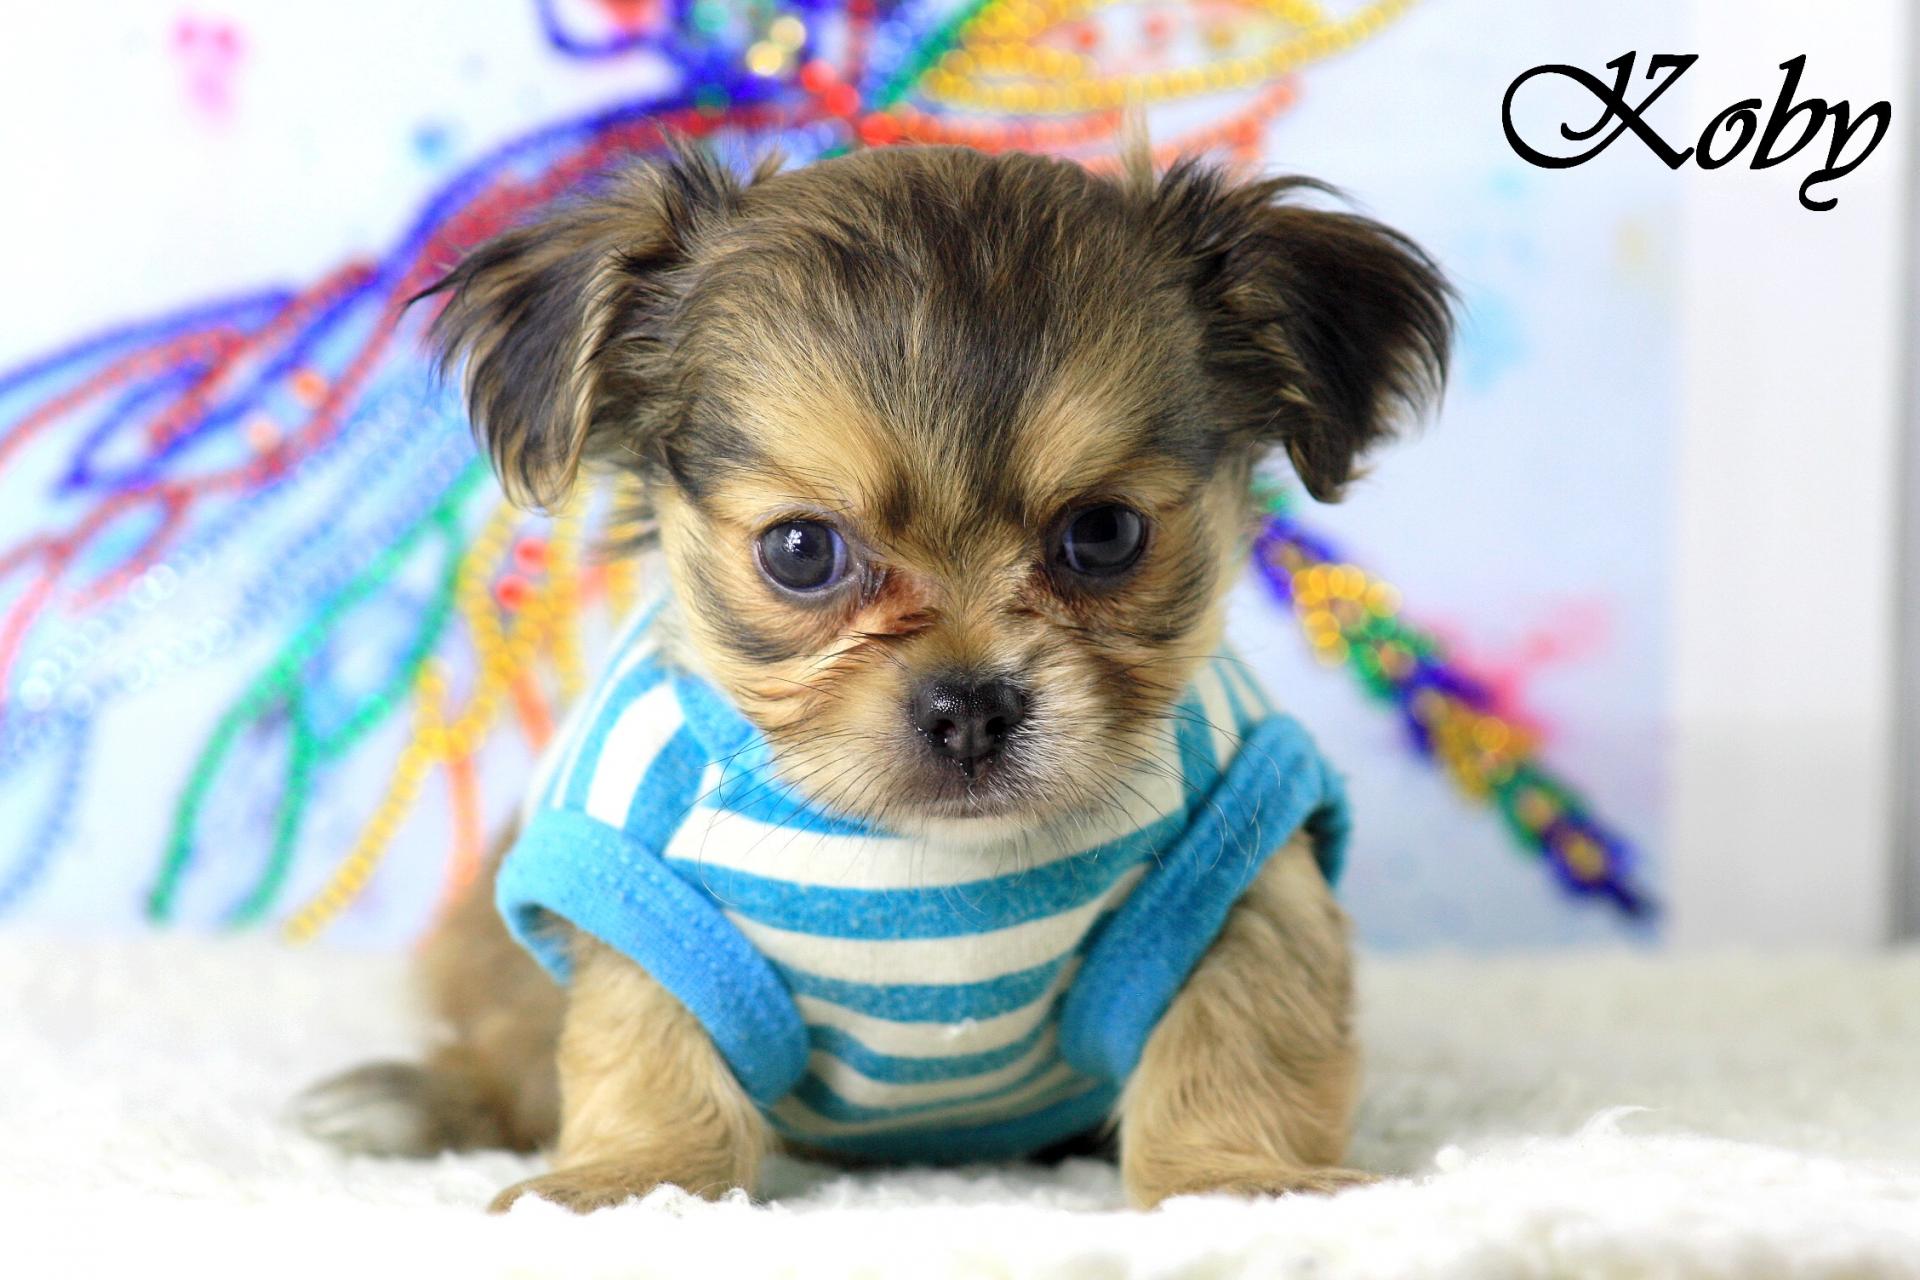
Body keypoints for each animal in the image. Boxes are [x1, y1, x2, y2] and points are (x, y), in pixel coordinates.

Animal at [294, 142, 1451, 1212]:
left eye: (1106, 535)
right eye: (802, 550)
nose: (970, 706)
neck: (932, 858)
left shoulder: (1244, 865)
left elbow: (1241, 1043)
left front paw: (1240, 1181)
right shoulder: (636, 892)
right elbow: (646, 1050)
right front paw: (631, 1183)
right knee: (510, 1062)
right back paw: (407, 1101)